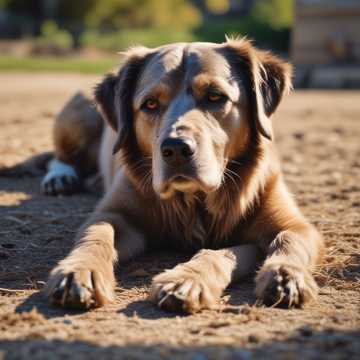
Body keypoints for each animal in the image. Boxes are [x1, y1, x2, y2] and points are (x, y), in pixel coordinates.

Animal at [41, 38, 324, 310]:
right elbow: (97, 235)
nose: (176, 149)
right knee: (60, 157)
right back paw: (61, 178)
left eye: (215, 96)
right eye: (150, 104)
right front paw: (81, 271)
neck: (194, 201)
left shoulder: (294, 225)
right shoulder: (114, 214)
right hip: (77, 117)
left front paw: (285, 275)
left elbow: (284, 240)